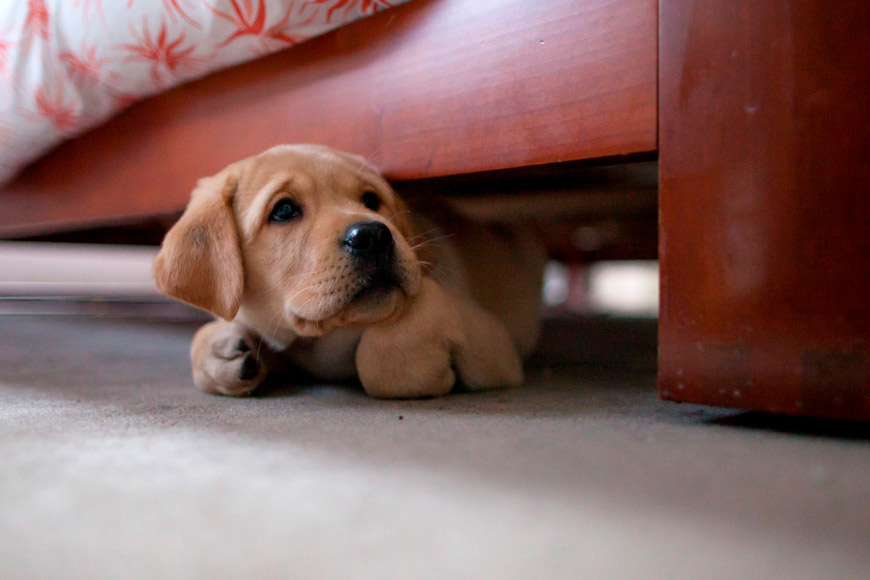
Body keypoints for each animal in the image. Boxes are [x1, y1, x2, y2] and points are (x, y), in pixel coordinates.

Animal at [153, 145, 540, 398]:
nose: (373, 236)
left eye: (371, 200)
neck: (324, 340)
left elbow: (387, 349)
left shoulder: (496, 342)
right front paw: (223, 349)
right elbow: (206, 338)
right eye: (284, 210)